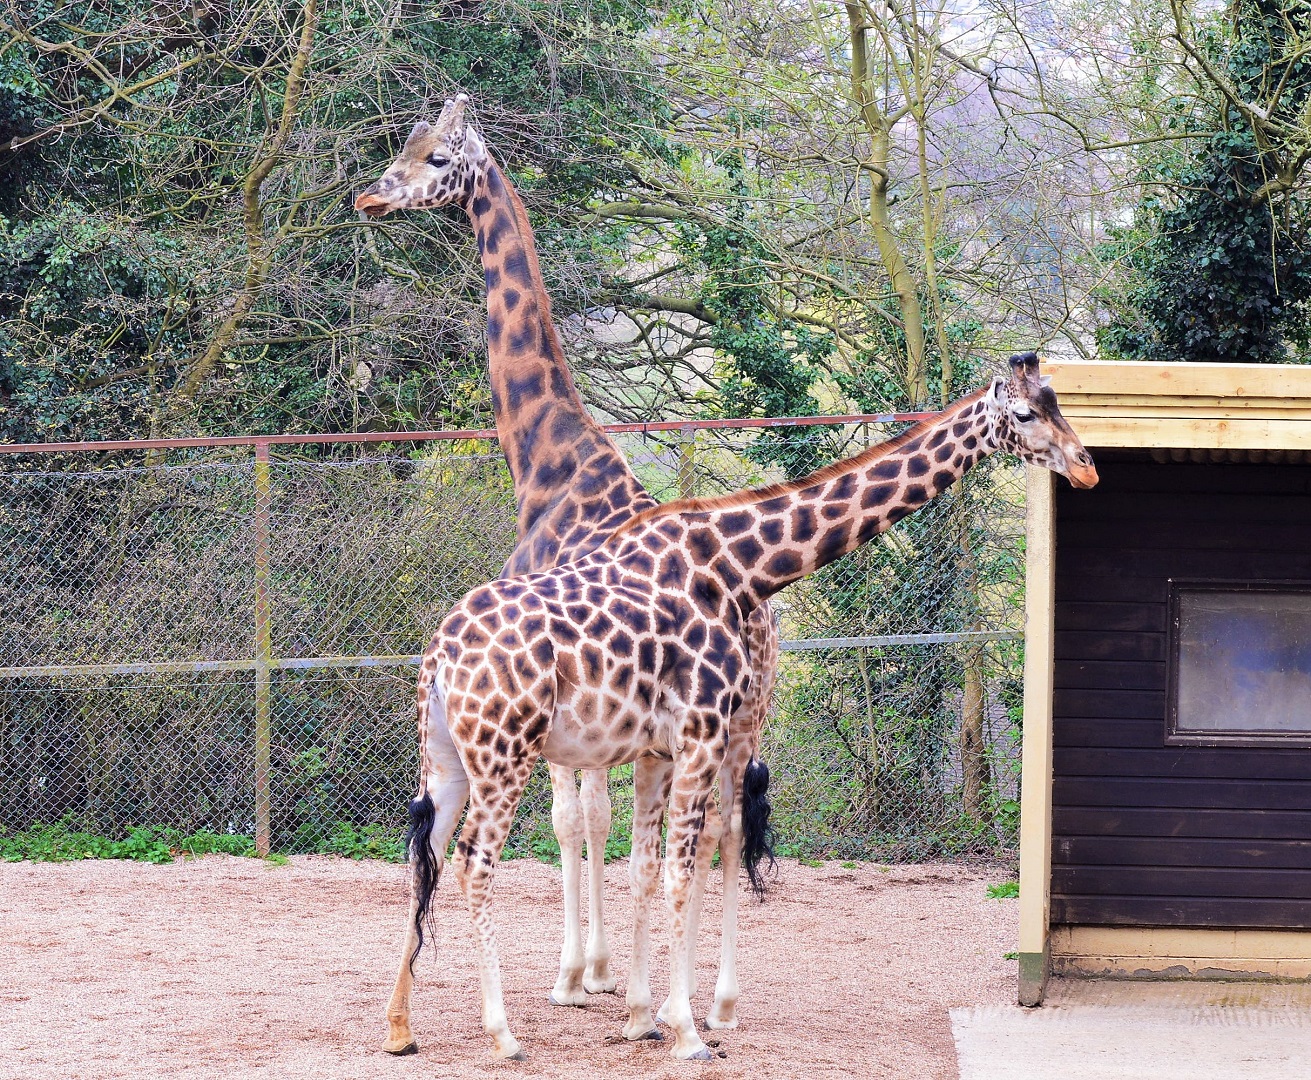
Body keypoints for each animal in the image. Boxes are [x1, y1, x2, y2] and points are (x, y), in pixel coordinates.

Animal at [354, 95, 779, 1044]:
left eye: (436, 158)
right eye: (403, 144)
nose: (370, 197)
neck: (545, 470)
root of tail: (761, 611)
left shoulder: (567, 712)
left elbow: (574, 818)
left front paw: (576, 976)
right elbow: (601, 822)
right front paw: (603, 976)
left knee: (708, 830)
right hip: (741, 716)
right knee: (729, 828)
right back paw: (721, 999)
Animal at [394, 352, 1096, 1061]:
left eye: (1059, 402)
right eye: (1027, 413)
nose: (1086, 465)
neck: (740, 568)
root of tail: (437, 657)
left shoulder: (659, 747)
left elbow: (648, 866)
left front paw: (644, 1017)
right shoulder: (701, 729)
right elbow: (678, 870)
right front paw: (684, 1032)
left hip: (449, 761)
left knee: (427, 852)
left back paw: (400, 1026)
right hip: (505, 756)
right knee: (474, 861)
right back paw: (503, 1033)